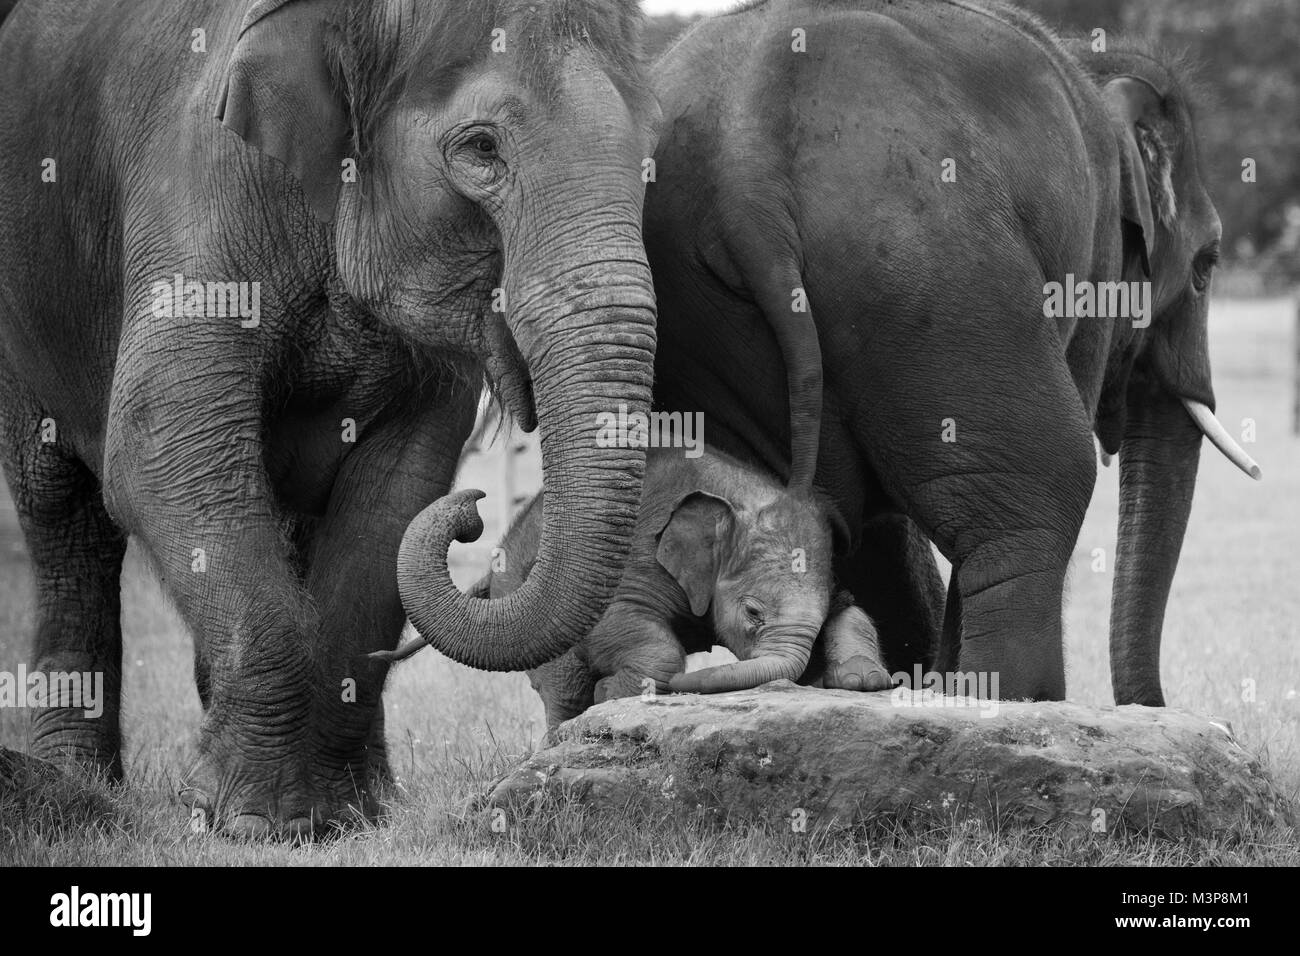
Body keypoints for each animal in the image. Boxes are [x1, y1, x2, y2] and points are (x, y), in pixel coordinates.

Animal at [0, 0, 660, 837]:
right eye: (481, 148)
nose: (475, 507)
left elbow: (397, 492)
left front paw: (331, 816)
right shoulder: (198, 190)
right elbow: (157, 446)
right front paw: (247, 818)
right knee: (62, 511)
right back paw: (81, 783)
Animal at [644, 0, 1253, 702]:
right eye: (1207, 265)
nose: (1153, 707)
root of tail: (747, 173)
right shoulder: (1093, 253)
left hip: (723, 324)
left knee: (825, 512)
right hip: (931, 270)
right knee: (1040, 487)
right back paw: (1009, 699)